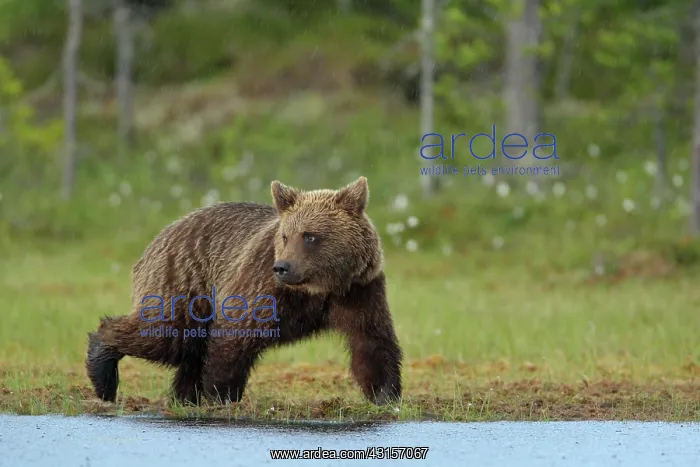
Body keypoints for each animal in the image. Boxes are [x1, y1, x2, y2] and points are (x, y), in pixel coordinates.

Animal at [85, 176, 403, 406]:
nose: (283, 267)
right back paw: (103, 369)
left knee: (188, 348)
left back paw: (183, 397)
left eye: (310, 236)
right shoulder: (261, 286)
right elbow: (235, 336)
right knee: (167, 335)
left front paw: (385, 395)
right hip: (186, 281)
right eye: (285, 235)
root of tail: (159, 236)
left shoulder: (358, 290)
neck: (317, 288)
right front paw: (221, 394)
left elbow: (371, 341)